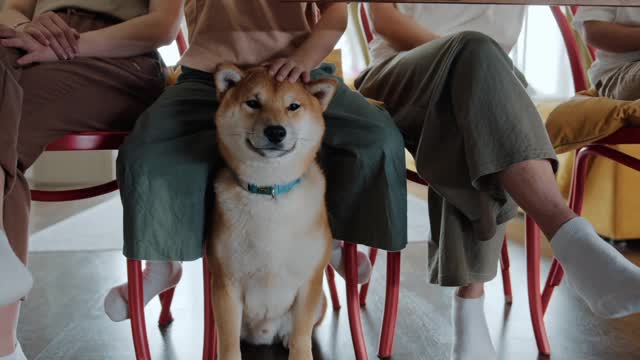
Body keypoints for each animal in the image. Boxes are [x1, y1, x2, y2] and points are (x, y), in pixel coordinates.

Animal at [209, 63, 340, 358]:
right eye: (253, 103)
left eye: (293, 106)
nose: (276, 131)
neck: (269, 193)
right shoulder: (226, 284)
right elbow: (228, 344)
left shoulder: (309, 282)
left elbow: (303, 338)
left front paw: (299, 348)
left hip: (321, 301)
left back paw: (286, 338)